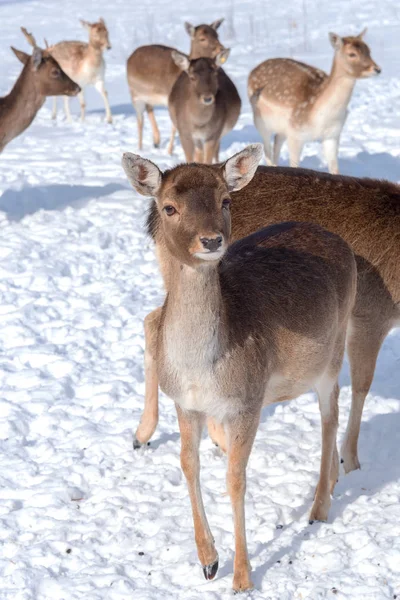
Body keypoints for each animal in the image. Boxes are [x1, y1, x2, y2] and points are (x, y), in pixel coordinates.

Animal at [122, 145, 356, 592]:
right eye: (169, 206)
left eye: (226, 200)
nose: (212, 240)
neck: (202, 369)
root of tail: (341, 243)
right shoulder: (185, 402)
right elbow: (188, 463)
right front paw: (209, 561)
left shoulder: (248, 401)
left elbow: (235, 479)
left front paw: (243, 578)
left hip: (334, 352)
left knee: (330, 414)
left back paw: (319, 506)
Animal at [128, 19, 228, 151]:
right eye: (202, 38)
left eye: (217, 35)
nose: (221, 49)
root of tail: (129, 57)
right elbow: (175, 126)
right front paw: (170, 151)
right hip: (135, 94)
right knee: (140, 120)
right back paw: (140, 148)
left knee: (149, 109)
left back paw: (156, 141)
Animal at [134, 161, 400, 478]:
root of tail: (152, 219)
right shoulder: (373, 313)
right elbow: (362, 385)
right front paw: (350, 462)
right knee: (154, 322)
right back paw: (151, 435)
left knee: (152, 319)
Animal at [247, 29, 382, 173]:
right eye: (352, 54)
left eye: (368, 50)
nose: (377, 69)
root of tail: (252, 71)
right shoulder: (295, 134)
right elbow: (294, 165)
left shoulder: (333, 135)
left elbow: (334, 169)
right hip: (260, 121)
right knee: (267, 148)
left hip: (282, 127)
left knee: (277, 140)